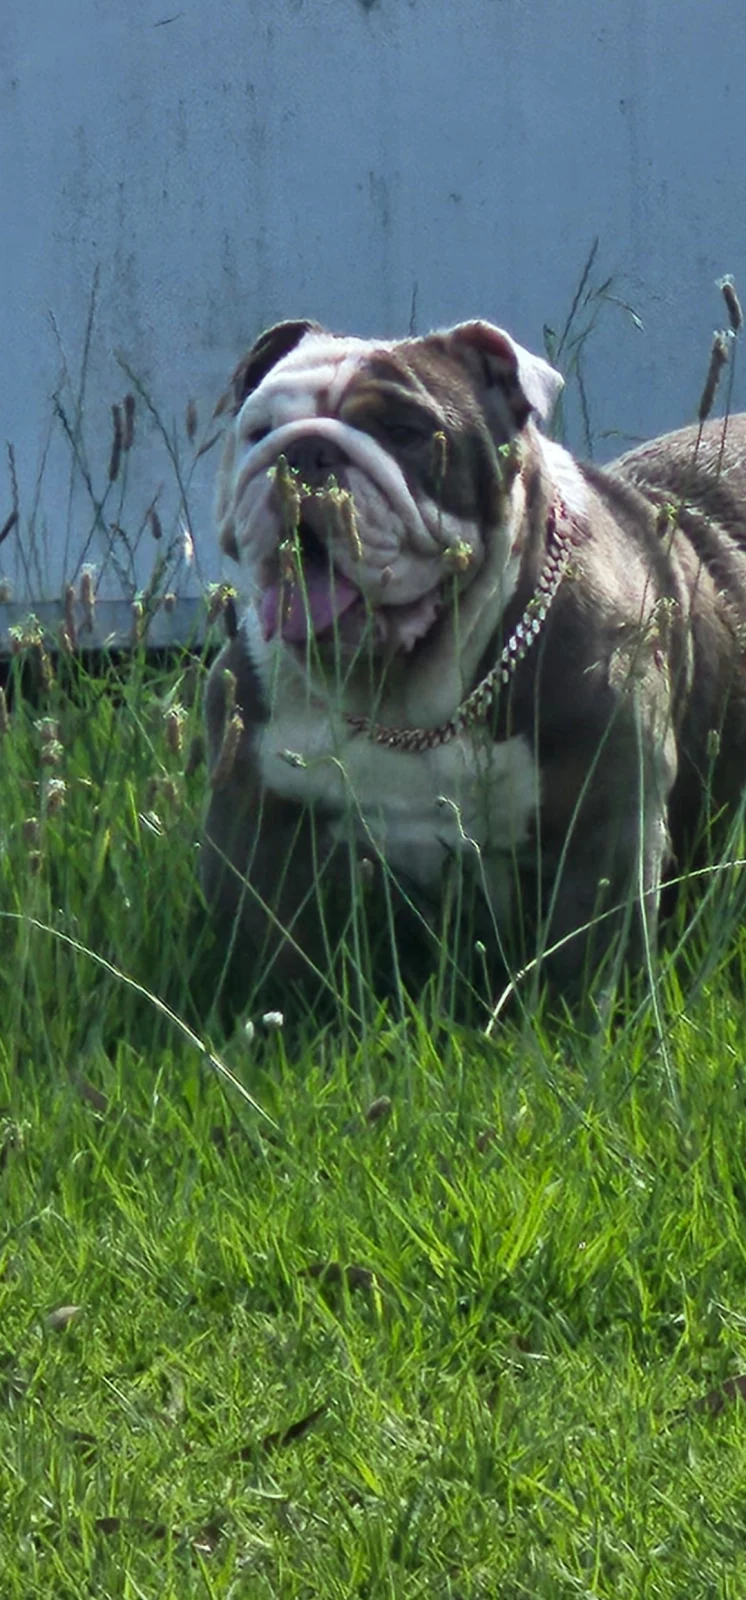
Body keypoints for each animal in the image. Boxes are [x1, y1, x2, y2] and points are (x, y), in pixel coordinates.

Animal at [201, 317, 746, 1002]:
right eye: (259, 430)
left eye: (406, 432)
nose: (302, 454)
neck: (404, 698)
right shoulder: (256, 812)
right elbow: (267, 945)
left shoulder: (606, 825)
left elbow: (586, 962)